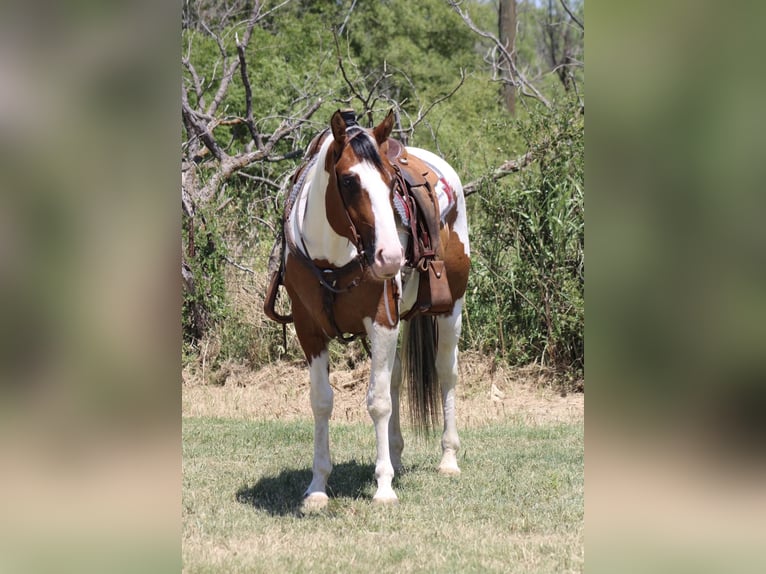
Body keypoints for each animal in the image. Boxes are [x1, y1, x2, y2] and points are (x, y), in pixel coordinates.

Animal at [270, 109, 474, 512]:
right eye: (348, 181)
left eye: (391, 182)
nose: (390, 257)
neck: (332, 259)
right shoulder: (308, 328)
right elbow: (322, 401)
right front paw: (318, 487)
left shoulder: (381, 321)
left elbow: (377, 403)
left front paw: (383, 488)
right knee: (394, 381)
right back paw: (394, 456)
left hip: (451, 310)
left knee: (446, 373)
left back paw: (447, 458)